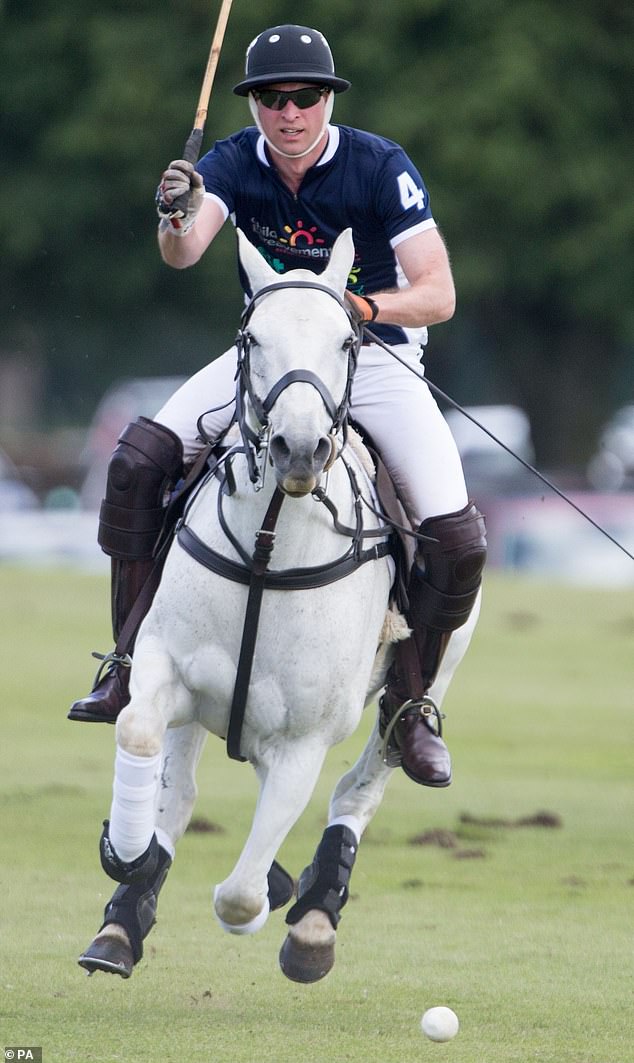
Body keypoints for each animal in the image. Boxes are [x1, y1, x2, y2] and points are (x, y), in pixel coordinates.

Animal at [79, 228, 476, 982]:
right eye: (251, 336)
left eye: (348, 340)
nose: (298, 447)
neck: (268, 545)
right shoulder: (167, 668)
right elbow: (140, 737)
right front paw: (128, 857)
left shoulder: (302, 742)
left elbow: (236, 896)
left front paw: (272, 897)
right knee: (179, 789)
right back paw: (122, 921)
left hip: (432, 671)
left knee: (363, 782)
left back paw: (315, 912)